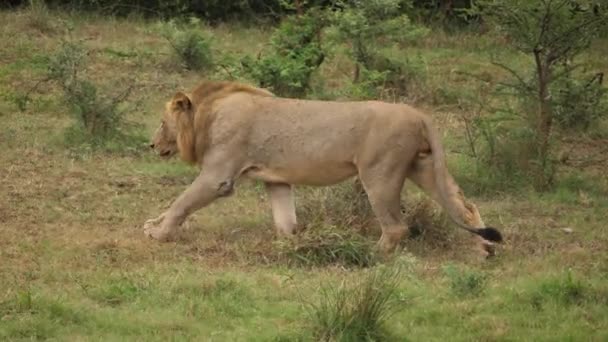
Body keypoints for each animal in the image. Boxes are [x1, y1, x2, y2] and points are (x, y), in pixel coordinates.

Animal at [147, 81, 504, 256]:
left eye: (162, 123)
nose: (150, 145)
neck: (206, 115)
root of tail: (418, 114)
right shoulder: (277, 180)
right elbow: (285, 220)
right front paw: (289, 246)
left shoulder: (218, 175)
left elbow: (181, 203)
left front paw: (158, 233)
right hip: (424, 167)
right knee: (464, 206)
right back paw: (484, 250)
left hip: (380, 173)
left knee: (396, 227)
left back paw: (368, 256)